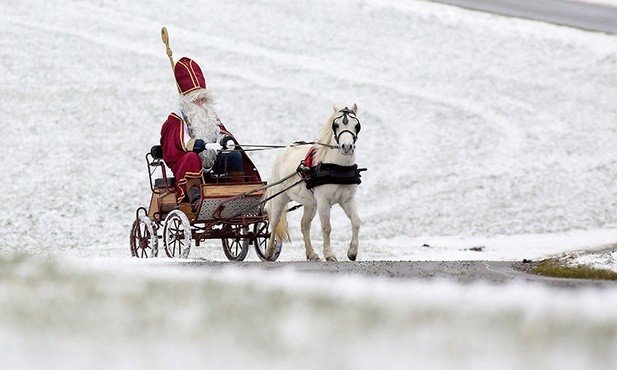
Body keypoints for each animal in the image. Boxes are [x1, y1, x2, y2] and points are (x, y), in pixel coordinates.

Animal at [264, 102, 360, 262]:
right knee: (274, 222)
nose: (346, 147)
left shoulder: (347, 199)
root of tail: (285, 150)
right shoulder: (323, 201)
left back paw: (312, 253)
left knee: (304, 225)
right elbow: (327, 227)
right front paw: (329, 254)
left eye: (356, 125)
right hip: (280, 197)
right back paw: (269, 252)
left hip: (310, 203)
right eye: (336, 124)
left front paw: (352, 252)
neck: (337, 166)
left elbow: (356, 221)